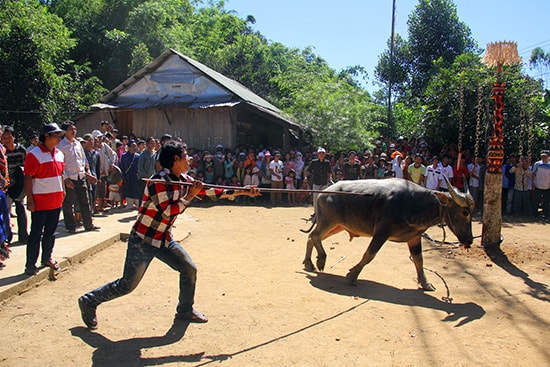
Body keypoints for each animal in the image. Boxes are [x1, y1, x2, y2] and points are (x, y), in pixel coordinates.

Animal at [304, 177, 476, 292]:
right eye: (465, 212)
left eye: (471, 212)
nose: (469, 240)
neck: (415, 203)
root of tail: (323, 193)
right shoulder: (381, 233)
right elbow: (369, 255)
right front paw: (352, 275)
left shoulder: (414, 237)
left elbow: (419, 260)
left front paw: (426, 283)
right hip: (328, 222)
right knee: (315, 236)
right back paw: (320, 260)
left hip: (337, 226)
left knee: (311, 237)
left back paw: (309, 263)